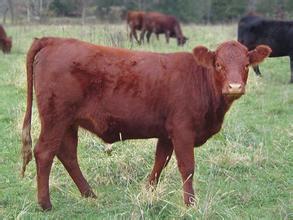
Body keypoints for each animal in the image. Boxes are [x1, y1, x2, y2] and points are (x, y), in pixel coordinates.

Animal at [21, 37, 270, 210]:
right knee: (45, 153)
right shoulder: (182, 130)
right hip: (55, 118)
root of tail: (54, 40)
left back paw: (89, 194)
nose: (234, 87)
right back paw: (45, 204)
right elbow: (187, 167)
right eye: (218, 64)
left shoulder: (167, 134)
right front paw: (190, 203)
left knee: (68, 155)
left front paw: (148, 191)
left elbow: (160, 162)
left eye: (246, 65)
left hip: (68, 123)